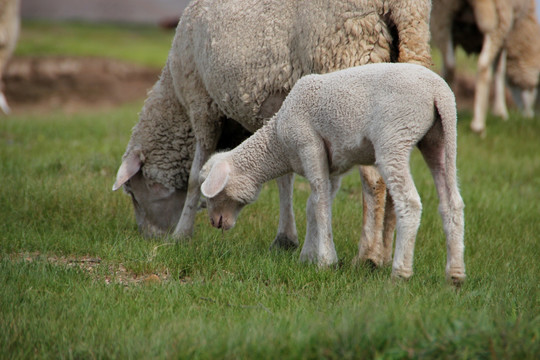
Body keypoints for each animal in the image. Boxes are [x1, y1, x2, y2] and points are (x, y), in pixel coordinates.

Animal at [113, 0, 430, 268]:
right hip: (410, 56)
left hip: (351, 58)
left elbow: (193, 179)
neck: (176, 104)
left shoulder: (202, 105)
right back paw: (388, 253)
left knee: (374, 180)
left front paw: (181, 234)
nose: (149, 237)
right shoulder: (276, 112)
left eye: (134, 193)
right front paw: (287, 239)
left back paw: (369, 256)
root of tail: (398, 6)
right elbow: (285, 180)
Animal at [200, 63, 466, 284]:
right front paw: (307, 256)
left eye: (211, 193)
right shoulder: (335, 163)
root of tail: (439, 92)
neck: (277, 144)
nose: (214, 223)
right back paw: (455, 274)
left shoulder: (309, 145)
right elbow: (315, 203)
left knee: (409, 203)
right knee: (452, 203)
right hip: (438, 140)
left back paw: (400, 273)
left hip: (395, 136)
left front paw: (326, 261)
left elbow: (320, 204)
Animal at [430, 0, 540, 135]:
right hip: (498, 19)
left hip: (443, 15)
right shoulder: (507, 34)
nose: (531, 116)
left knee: (450, 65)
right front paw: (501, 112)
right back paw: (478, 124)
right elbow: (500, 69)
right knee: (483, 66)